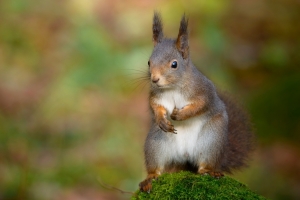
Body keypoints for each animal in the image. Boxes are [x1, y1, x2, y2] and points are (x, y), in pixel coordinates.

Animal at [139, 12, 254, 192]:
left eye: (174, 64)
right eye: (149, 62)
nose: (155, 79)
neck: (173, 87)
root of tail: (185, 157)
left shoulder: (204, 91)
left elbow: (200, 105)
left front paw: (180, 115)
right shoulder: (156, 96)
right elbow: (156, 106)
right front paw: (161, 118)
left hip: (212, 140)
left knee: (205, 164)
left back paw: (209, 171)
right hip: (156, 143)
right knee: (156, 167)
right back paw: (150, 178)